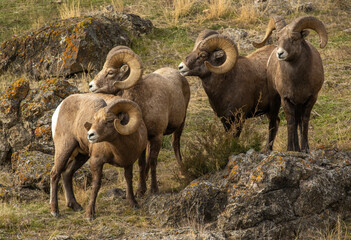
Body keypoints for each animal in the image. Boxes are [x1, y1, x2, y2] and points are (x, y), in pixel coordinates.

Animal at [89, 46, 191, 193]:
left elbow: (153, 161)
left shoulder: (157, 137)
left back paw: (182, 173)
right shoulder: (143, 139)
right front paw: (140, 190)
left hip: (180, 124)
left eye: (110, 72)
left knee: (175, 144)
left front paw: (153, 189)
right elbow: (142, 163)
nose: (91, 86)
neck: (141, 102)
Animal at [254, 15, 328, 153]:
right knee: (274, 121)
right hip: (275, 99)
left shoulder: (310, 99)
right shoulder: (285, 99)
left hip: (298, 104)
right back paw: (271, 148)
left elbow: (304, 121)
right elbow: (290, 122)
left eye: (294, 39)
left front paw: (304, 149)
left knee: (298, 121)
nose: (280, 53)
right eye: (278, 38)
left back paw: (297, 148)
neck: (298, 80)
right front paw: (290, 149)